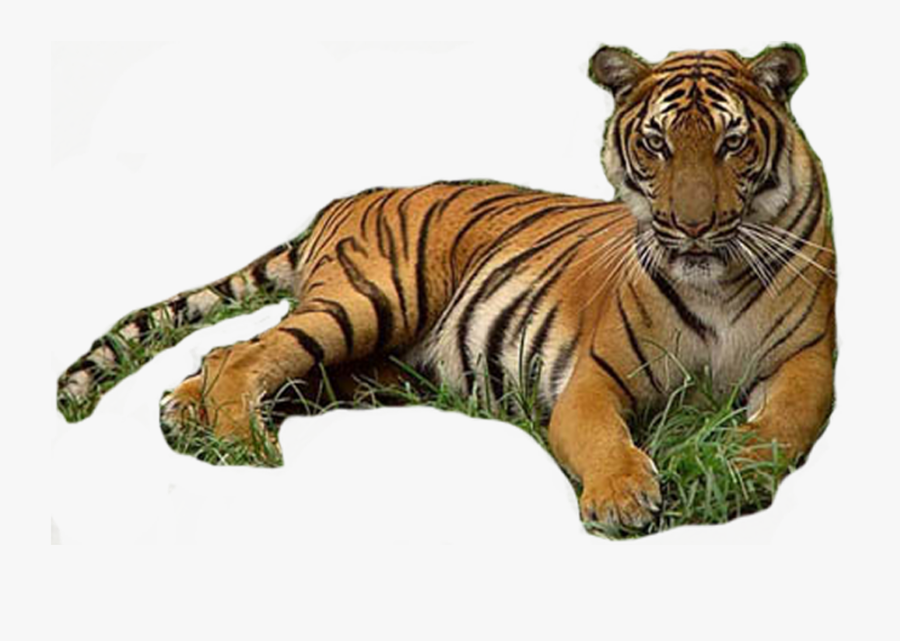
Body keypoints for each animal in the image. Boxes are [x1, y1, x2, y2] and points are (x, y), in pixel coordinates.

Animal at [57, 45, 836, 530]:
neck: (714, 283)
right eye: (656, 143)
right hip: (368, 301)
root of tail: (342, 200)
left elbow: (781, 428)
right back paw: (239, 445)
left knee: (244, 360)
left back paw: (185, 414)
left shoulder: (807, 366)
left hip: (366, 367)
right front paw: (622, 498)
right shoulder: (594, 379)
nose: (692, 226)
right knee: (240, 353)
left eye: (732, 143)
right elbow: (604, 440)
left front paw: (729, 469)